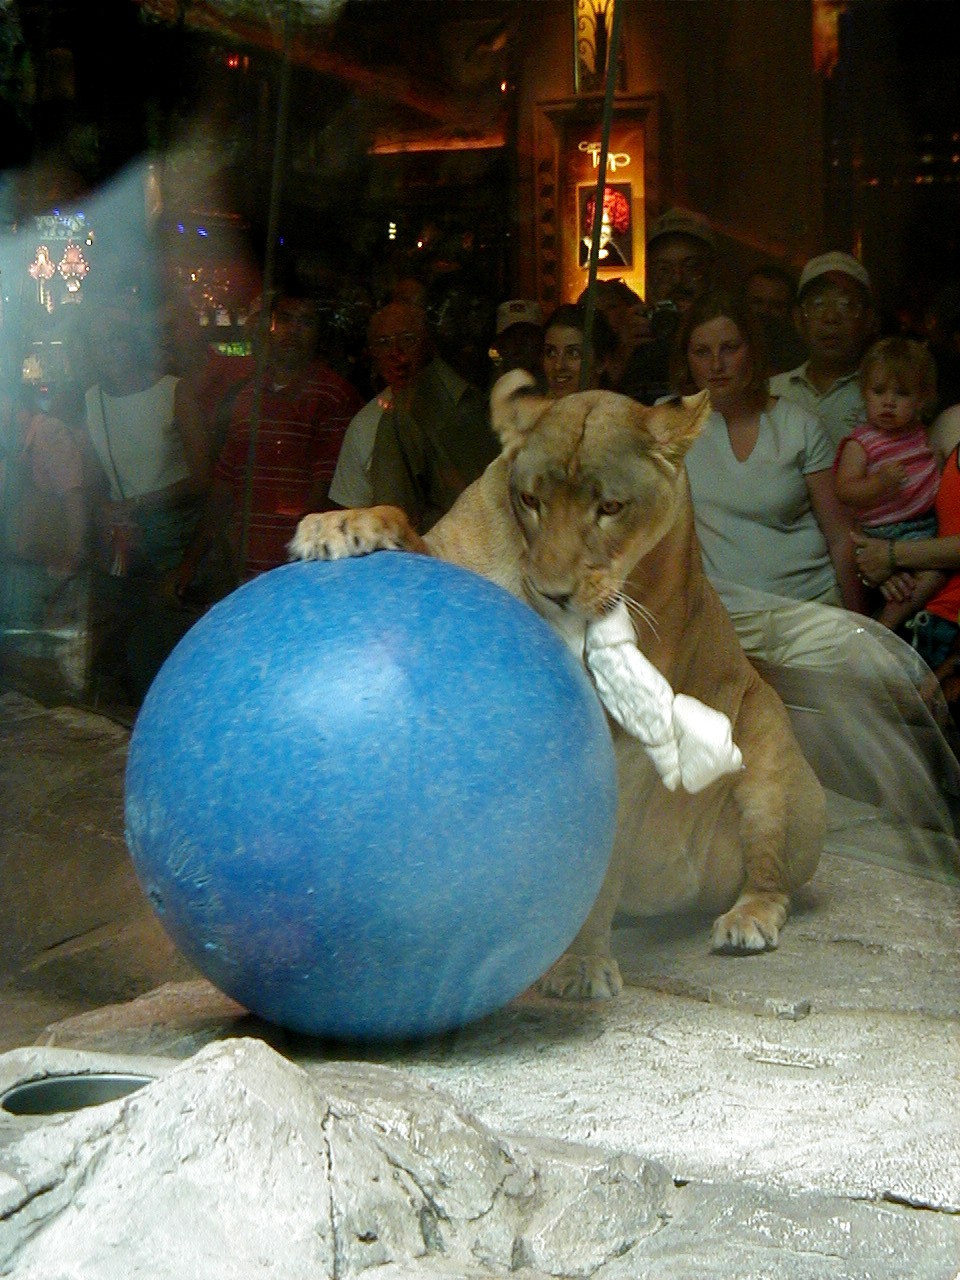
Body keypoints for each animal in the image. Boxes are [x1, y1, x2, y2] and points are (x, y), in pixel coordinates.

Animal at [290, 372, 825, 1000]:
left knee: (771, 875)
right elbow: (403, 521)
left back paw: (746, 921)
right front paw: (342, 525)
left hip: (768, 750)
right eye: (531, 501)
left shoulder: (626, 736)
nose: (550, 593)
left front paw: (580, 964)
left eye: (610, 508)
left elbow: (602, 858)